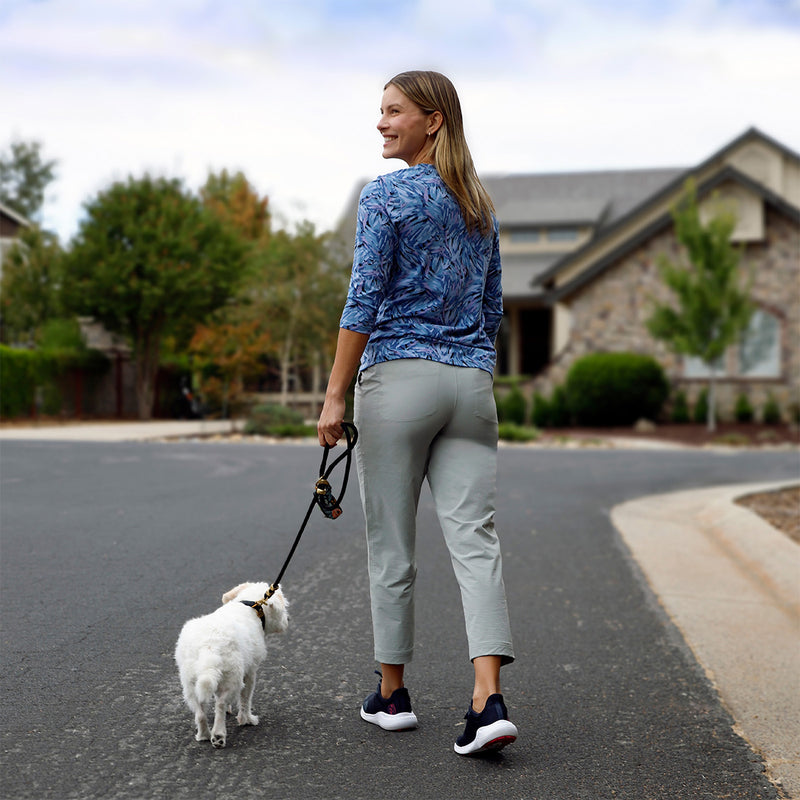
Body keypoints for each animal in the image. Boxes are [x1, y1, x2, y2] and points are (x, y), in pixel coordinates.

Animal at [175, 580, 290, 752]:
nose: (288, 620)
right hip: (233, 677)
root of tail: (209, 646)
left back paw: (203, 735)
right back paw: (218, 735)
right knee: (220, 704)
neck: (253, 606)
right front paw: (247, 719)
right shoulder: (250, 672)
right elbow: (245, 699)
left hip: (190, 682)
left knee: (200, 712)